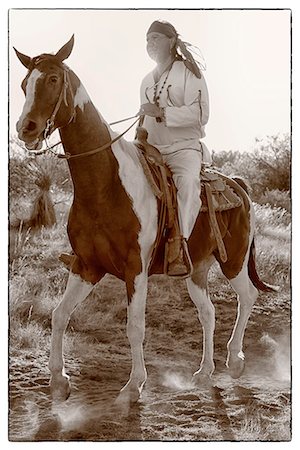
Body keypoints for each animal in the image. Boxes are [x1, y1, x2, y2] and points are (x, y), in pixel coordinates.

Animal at [12, 34, 274, 400]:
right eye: (24, 84)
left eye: (52, 78)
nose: (27, 128)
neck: (105, 185)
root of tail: (239, 185)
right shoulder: (86, 266)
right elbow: (59, 314)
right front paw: (59, 380)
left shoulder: (135, 268)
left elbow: (135, 326)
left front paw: (134, 385)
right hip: (197, 270)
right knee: (207, 312)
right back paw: (204, 372)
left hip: (233, 261)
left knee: (247, 297)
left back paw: (234, 360)